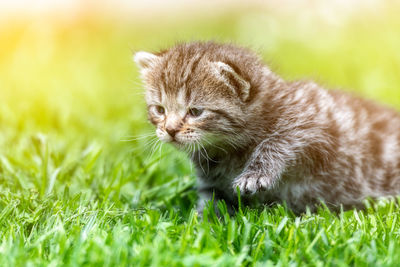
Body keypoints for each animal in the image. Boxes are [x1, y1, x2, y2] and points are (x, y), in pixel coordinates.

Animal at [133, 41, 400, 214]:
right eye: (159, 110)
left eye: (195, 112)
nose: (169, 130)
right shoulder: (210, 181)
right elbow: (211, 202)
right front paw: (200, 224)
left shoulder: (316, 119)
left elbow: (280, 139)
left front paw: (255, 173)